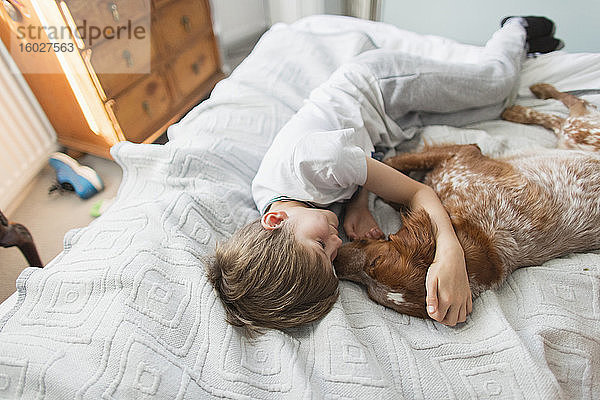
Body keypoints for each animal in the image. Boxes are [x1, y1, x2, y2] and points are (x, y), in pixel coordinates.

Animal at [332, 144, 600, 318]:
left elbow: (394, 167)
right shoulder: (463, 154)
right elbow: (397, 167)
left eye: (374, 264)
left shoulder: (462, 155)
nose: (335, 263)